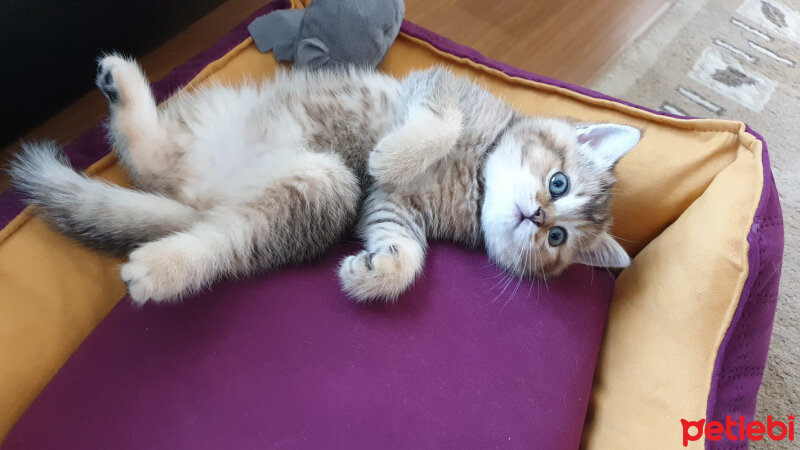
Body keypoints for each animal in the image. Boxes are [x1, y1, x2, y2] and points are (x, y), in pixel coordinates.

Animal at [9, 54, 640, 304]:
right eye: (558, 185)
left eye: (557, 239)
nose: (536, 215)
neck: (474, 182)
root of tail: (207, 196)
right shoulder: (443, 87)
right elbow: (439, 121)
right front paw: (393, 154)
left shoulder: (384, 209)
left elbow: (406, 252)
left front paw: (378, 271)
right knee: (153, 162)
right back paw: (124, 87)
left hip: (325, 189)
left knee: (223, 234)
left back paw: (165, 267)